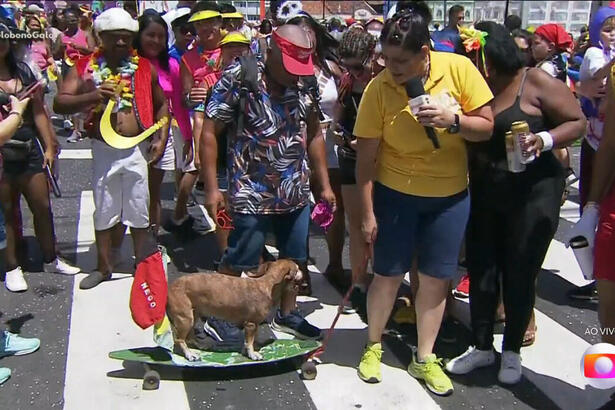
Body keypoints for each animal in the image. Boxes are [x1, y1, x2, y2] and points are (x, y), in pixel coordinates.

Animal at [167, 262, 304, 360]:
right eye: (297, 268)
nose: (303, 271)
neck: (268, 285)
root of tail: (171, 287)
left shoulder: (253, 326)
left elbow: (249, 341)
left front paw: (251, 348)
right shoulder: (251, 324)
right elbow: (249, 342)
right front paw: (252, 354)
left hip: (193, 315)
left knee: (189, 336)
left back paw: (199, 346)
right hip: (185, 318)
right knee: (179, 340)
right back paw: (189, 354)